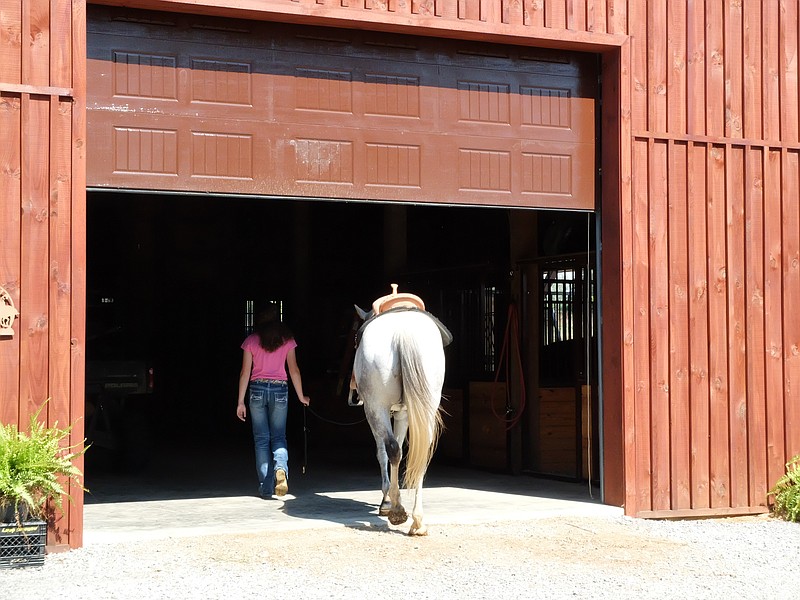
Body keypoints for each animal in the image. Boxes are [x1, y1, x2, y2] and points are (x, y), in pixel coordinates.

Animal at [352, 308, 446, 536]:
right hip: (426, 406)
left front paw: (386, 501)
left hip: (376, 407)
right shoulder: (404, 413)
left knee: (393, 449)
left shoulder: (380, 412)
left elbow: (383, 452)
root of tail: (403, 331)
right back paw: (418, 522)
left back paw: (396, 510)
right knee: (421, 454)